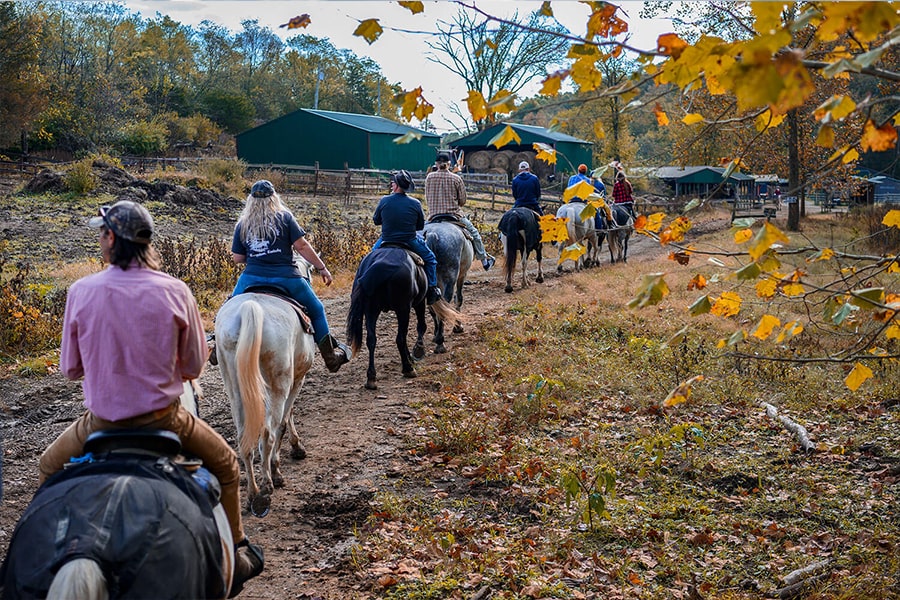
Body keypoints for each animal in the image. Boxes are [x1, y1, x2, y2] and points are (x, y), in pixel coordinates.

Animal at [214, 260, 318, 516]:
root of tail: (250, 309)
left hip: (235, 386)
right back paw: (269, 484)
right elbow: (285, 420)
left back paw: (253, 494)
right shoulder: (297, 379)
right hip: (279, 382)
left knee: (244, 437)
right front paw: (293, 451)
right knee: (269, 432)